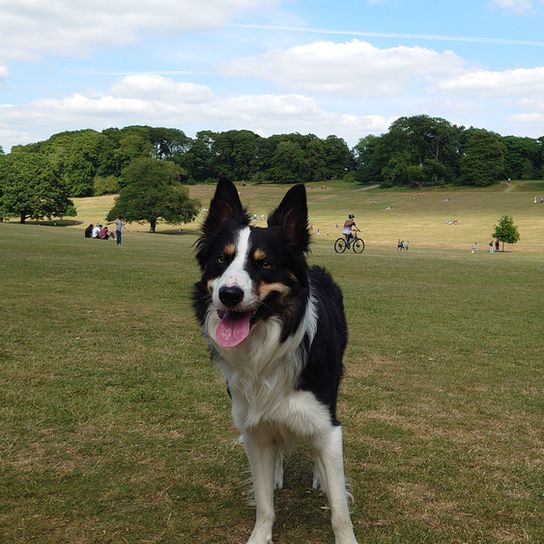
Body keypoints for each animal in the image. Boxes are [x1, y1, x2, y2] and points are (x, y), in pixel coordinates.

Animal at [193, 178, 360, 544]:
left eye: (265, 263)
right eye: (221, 259)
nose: (228, 295)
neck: (266, 346)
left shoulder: (325, 422)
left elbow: (340, 508)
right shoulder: (253, 427)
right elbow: (264, 500)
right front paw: (261, 534)